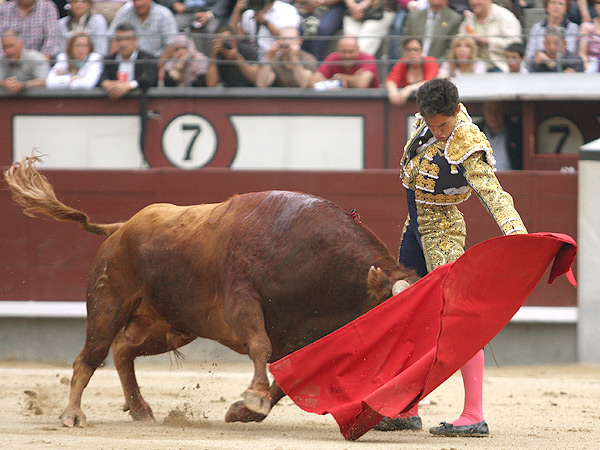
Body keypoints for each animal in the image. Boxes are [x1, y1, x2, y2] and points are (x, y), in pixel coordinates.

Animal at [3, 156, 418, 428]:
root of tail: (122, 228)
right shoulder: (242, 303)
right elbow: (261, 346)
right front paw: (253, 397)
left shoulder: (312, 338)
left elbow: (287, 382)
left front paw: (245, 410)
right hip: (109, 302)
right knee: (90, 356)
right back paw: (73, 414)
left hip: (170, 325)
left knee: (123, 351)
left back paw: (139, 408)